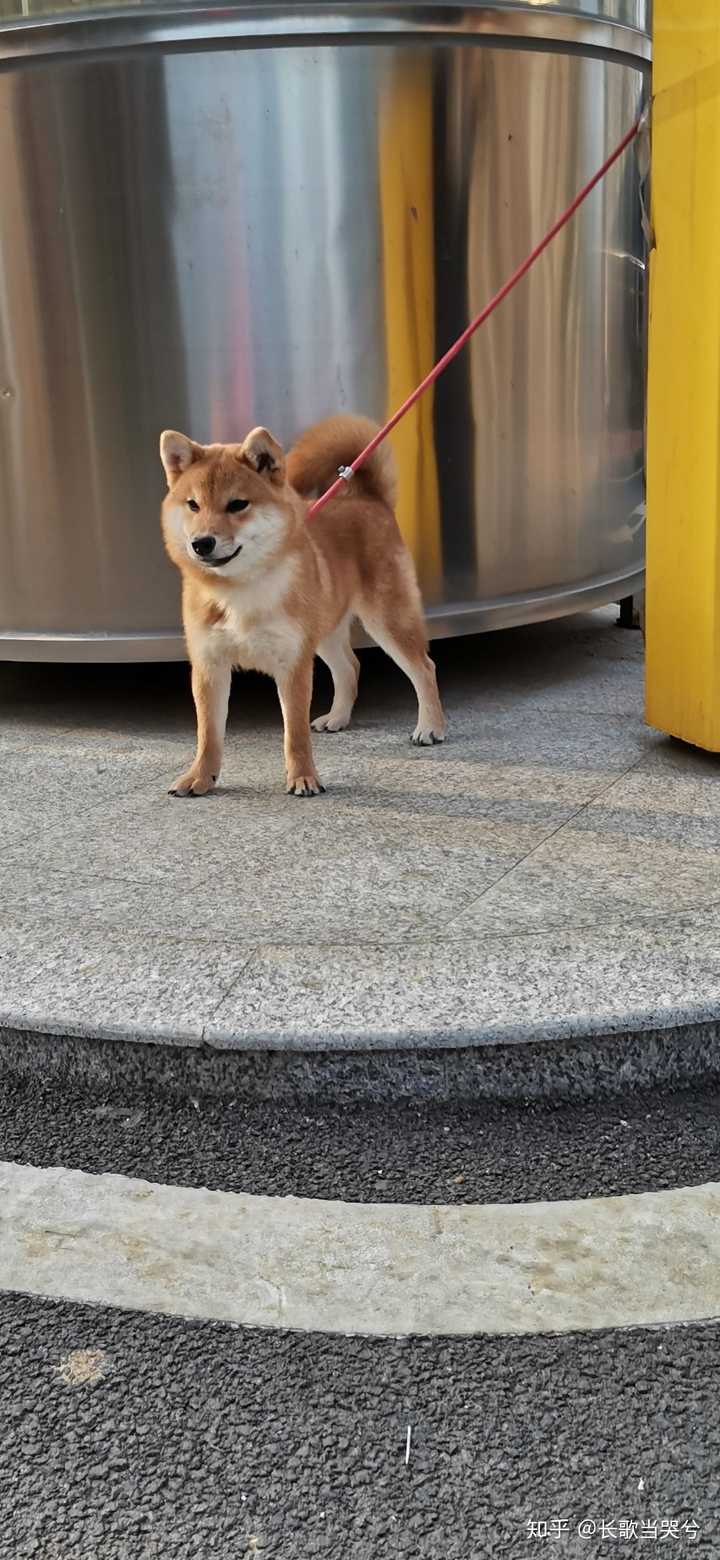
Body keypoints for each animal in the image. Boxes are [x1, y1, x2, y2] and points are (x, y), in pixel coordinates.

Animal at [160, 414, 445, 798]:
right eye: (193, 504)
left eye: (237, 504)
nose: (201, 543)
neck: (239, 591)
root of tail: (368, 498)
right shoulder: (209, 665)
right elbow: (208, 734)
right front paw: (199, 777)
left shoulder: (292, 663)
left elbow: (294, 734)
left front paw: (303, 778)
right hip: (324, 629)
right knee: (350, 667)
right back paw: (337, 717)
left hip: (387, 620)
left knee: (424, 668)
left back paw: (430, 726)